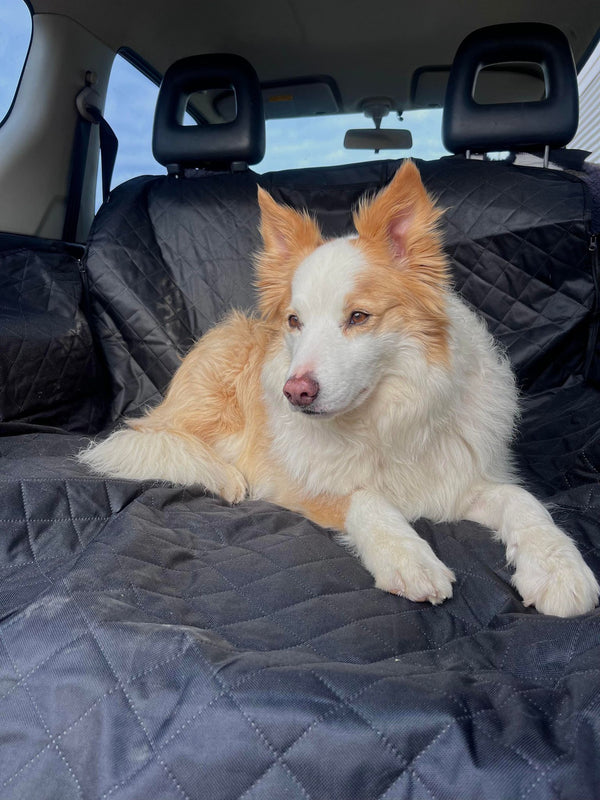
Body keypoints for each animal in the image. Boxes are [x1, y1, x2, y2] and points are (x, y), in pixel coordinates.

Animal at [79, 159, 600, 616]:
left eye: (359, 317)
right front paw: (408, 556)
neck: (386, 417)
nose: (295, 393)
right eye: (294, 321)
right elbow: (364, 498)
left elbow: (524, 501)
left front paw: (559, 567)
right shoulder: (293, 481)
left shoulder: (461, 478)